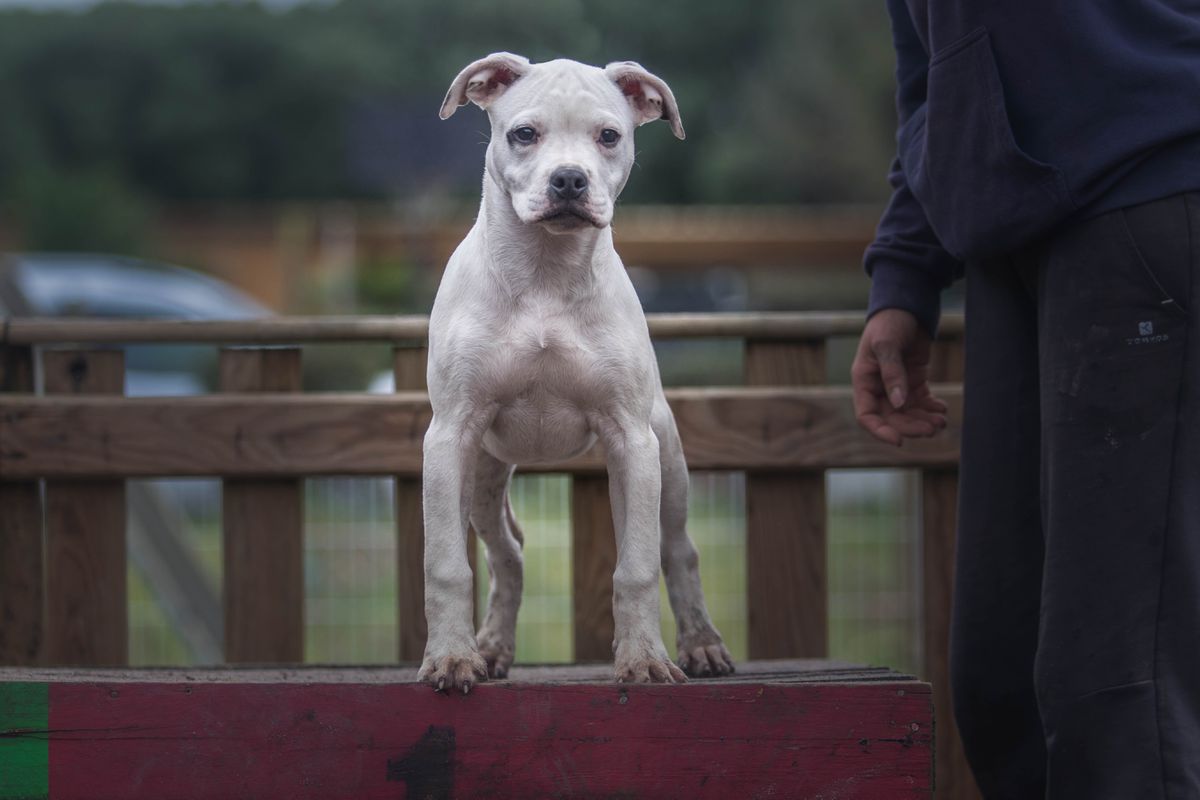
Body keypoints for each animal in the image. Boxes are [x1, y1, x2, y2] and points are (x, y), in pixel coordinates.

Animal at [422, 53, 729, 690]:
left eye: (608, 136)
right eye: (524, 133)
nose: (569, 180)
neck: (546, 272)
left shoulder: (631, 441)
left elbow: (636, 567)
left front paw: (643, 660)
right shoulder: (448, 436)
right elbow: (446, 564)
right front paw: (450, 659)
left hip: (669, 462)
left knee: (678, 550)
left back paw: (702, 645)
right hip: (482, 473)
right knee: (506, 552)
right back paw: (490, 648)